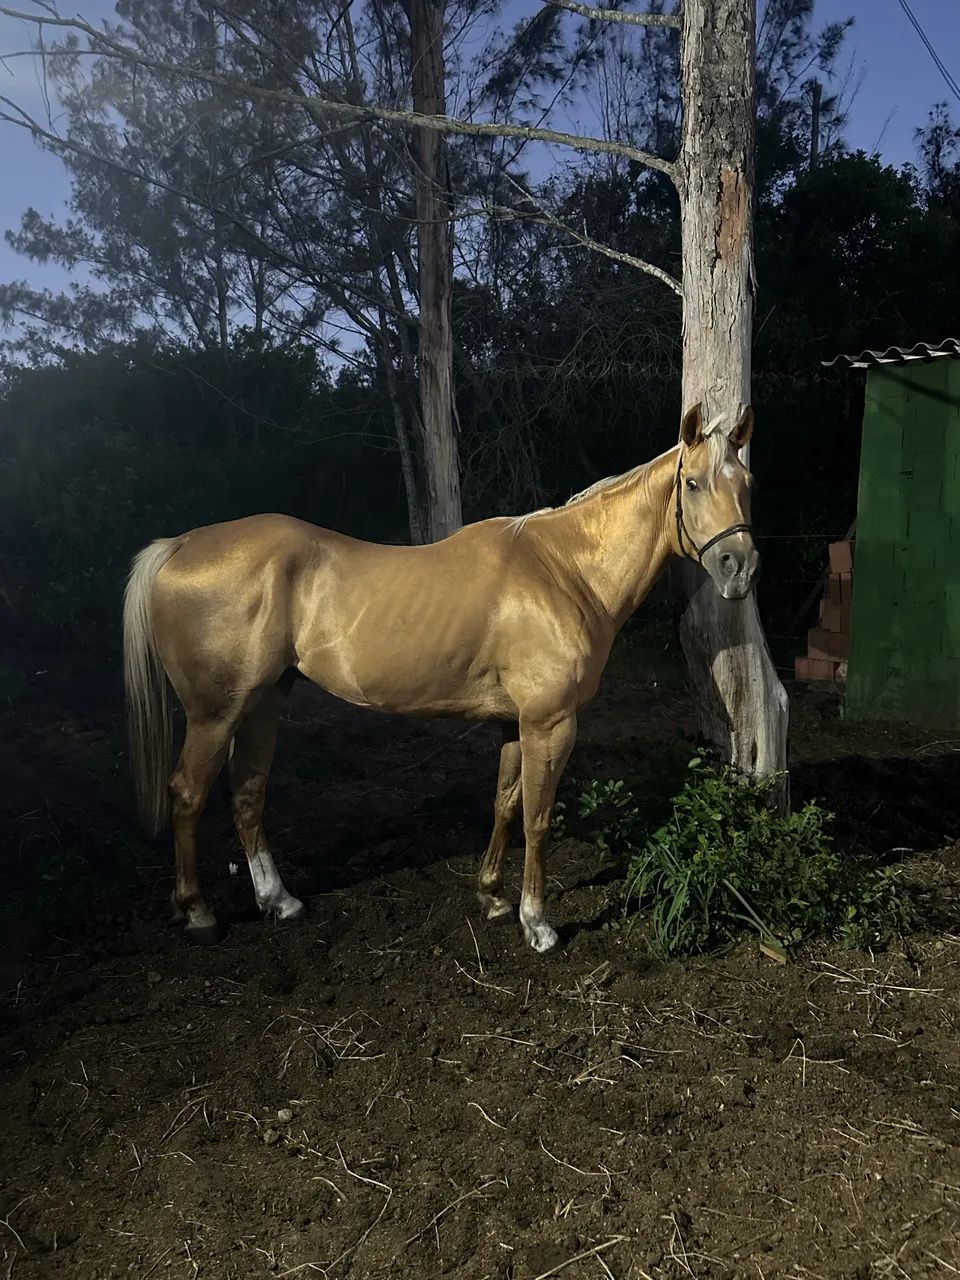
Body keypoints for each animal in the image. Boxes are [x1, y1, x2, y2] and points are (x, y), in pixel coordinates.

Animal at [123, 402, 757, 953]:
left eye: (746, 482)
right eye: (693, 482)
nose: (740, 567)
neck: (564, 571)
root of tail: (178, 545)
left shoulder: (513, 722)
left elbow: (505, 804)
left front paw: (492, 897)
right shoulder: (549, 722)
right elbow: (538, 817)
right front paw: (537, 923)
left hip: (262, 702)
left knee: (248, 792)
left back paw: (279, 900)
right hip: (216, 712)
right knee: (188, 793)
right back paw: (199, 912)